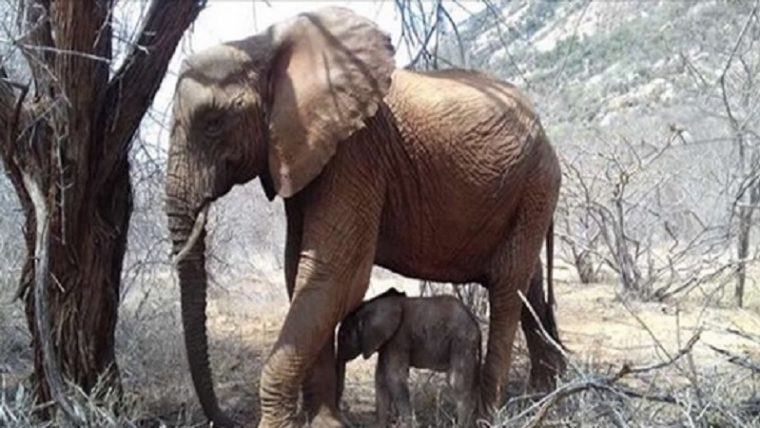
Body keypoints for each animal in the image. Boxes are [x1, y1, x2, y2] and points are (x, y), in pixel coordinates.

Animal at [336, 290, 480, 426]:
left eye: (342, 336)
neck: (369, 306)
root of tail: (474, 321)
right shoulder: (387, 343)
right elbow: (381, 378)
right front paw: (380, 425)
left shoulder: (398, 339)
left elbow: (394, 377)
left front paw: (408, 424)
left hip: (462, 340)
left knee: (456, 382)